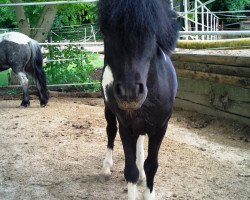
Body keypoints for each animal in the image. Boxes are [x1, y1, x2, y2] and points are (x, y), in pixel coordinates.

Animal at [98, 0, 179, 200]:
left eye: (152, 31)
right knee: (110, 131)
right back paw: (106, 167)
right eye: (105, 31)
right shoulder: (126, 127)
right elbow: (130, 171)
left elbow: (151, 166)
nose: (130, 93)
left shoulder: (160, 128)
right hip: (109, 110)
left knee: (140, 142)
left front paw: (148, 189)